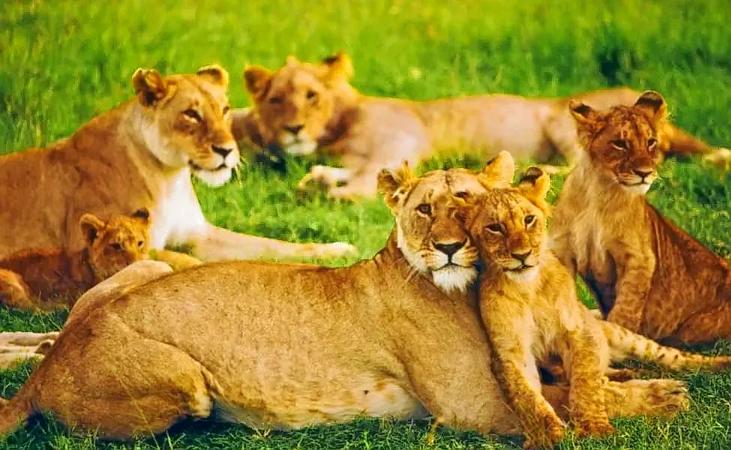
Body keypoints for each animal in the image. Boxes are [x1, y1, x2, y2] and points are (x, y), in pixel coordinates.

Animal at [0, 65, 355, 265]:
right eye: (191, 114)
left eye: (225, 109)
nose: (227, 150)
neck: (169, 178)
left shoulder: (201, 235)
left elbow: (272, 245)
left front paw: (338, 250)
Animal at [0, 157, 690, 441]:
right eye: (424, 210)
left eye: (467, 203)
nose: (447, 248)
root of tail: (44, 373)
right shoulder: (472, 408)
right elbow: (560, 401)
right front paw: (662, 396)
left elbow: (577, 380)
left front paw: (627, 377)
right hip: (185, 381)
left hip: (140, 266)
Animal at [234, 52, 729, 199]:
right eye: (276, 100)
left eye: (311, 96)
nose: (294, 128)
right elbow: (347, 171)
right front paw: (318, 178)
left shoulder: (401, 140)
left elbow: (366, 180)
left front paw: (331, 192)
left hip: (562, 120)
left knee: (581, 166)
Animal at [454, 161, 730, 448]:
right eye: (495, 227)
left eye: (528, 220)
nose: (522, 256)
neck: (527, 288)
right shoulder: (510, 352)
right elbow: (526, 397)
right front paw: (546, 435)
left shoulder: (579, 332)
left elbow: (585, 383)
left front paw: (594, 428)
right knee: (606, 372)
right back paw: (625, 374)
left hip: (624, 335)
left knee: (674, 357)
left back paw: (720, 364)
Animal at [551, 91, 731, 345]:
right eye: (620, 143)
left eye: (651, 142)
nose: (645, 173)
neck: (598, 192)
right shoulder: (563, 251)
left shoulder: (640, 258)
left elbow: (625, 310)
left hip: (691, 331)